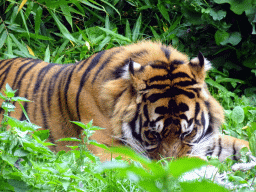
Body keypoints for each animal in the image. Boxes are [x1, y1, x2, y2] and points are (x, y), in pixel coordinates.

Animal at [0, 41, 249, 161]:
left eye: (188, 133)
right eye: (153, 134)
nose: (171, 166)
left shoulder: (203, 140)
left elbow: (241, 144)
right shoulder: (105, 149)